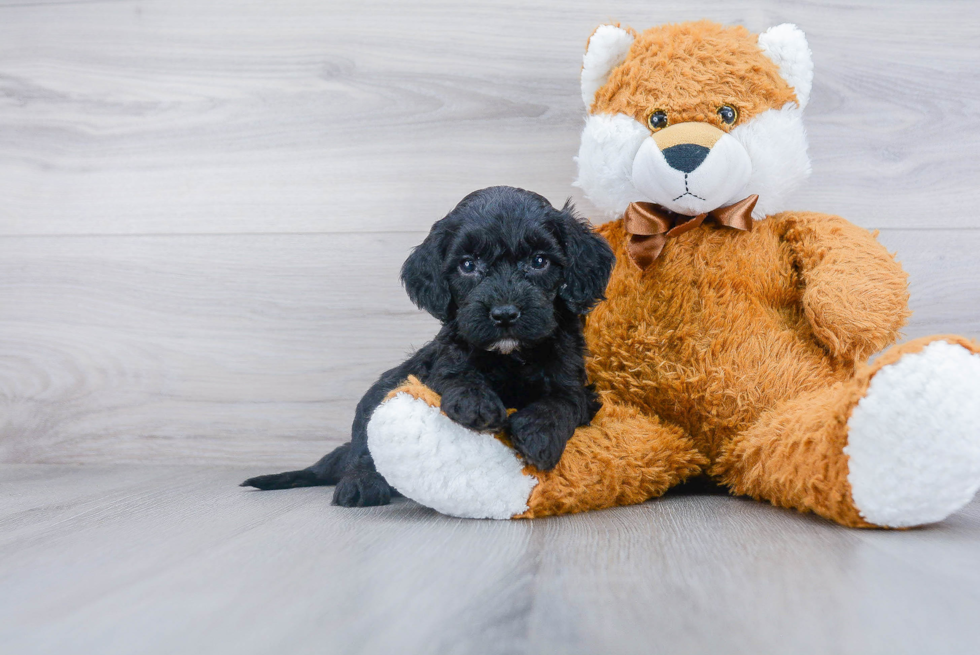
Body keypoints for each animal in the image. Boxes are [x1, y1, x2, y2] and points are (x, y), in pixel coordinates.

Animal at [243, 186, 612, 508]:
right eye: (468, 265)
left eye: (539, 261)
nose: (505, 313)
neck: (512, 356)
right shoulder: (440, 362)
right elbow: (457, 376)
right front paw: (477, 404)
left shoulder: (576, 383)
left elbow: (563, 401)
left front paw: (539, 434)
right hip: (377, 398)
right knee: (363, 448)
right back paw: (360, 485)